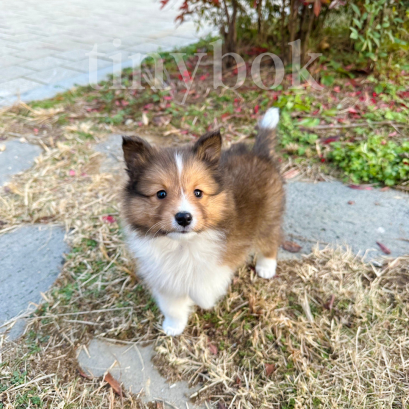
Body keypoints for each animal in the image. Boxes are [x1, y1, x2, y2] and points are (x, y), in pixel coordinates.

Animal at [121, 107, 284, 334]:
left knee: (270, 240)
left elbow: (204, 285)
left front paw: (202, 300)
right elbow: (172, 306)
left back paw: (266, 267)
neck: (183, 244)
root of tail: (259, 153)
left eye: (198, 192)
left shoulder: (219, 261)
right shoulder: (164, 278)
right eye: (161, 194)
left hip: (269, 215)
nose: (184, 217)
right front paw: (173, 327)